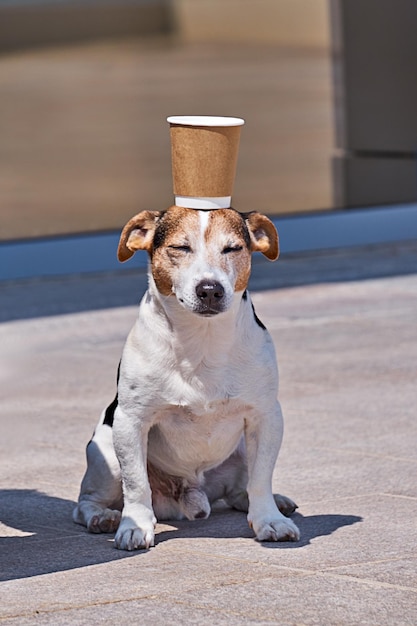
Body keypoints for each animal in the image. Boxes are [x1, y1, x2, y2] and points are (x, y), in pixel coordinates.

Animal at [72, 205, 300, 544]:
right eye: (180, 247)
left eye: (233, 248)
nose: (210, 290)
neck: (201, 339)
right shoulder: (131, 422)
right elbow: (136, 484)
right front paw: (135, 526)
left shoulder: (266, 416)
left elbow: (261, 479)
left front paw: (269, 520)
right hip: (107, 454)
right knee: (86, 502)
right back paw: (103, 516)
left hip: (241, 448)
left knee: (239, 490)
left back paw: (271, 502)